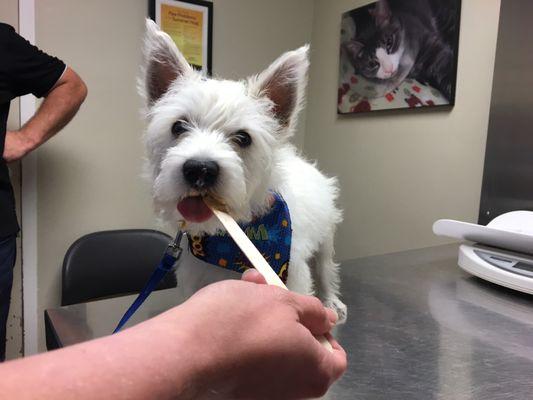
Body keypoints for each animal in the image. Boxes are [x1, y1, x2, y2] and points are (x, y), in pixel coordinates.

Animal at [138, 20, 344, 324]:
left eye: (243, 138)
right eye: (178, 127)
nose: (199, 169)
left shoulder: (293, 273)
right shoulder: (196, 279)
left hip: (327, 239)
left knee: (326, 268)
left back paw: (331, 301)